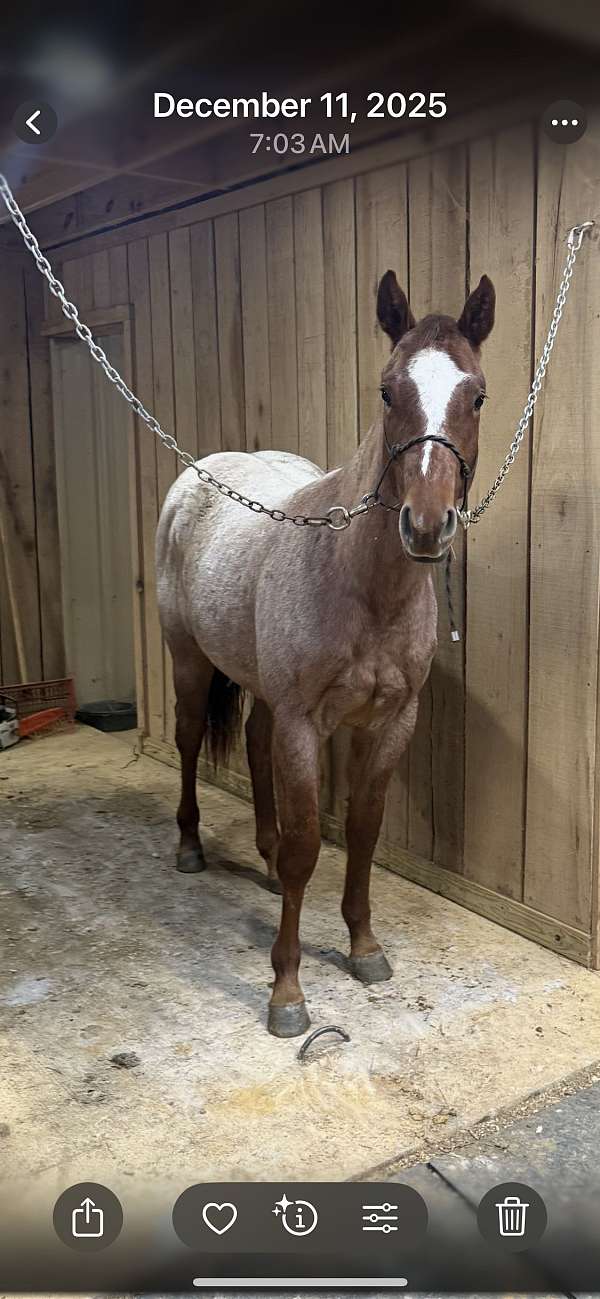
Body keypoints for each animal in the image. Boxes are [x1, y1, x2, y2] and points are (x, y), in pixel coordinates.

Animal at [156, 267, 495, 1037]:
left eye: (477, 394)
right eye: (387, 390)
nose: (426, 525)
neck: (362, 584)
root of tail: (200, 476)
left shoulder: (391, 720)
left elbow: (362, 833)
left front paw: (364, 946)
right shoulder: (304, 724)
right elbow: (310, 846)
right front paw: (287, 990)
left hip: (261, 694)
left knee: (253, 742)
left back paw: (262, 853)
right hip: (189, 661)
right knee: (189, 739)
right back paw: (190, 847)